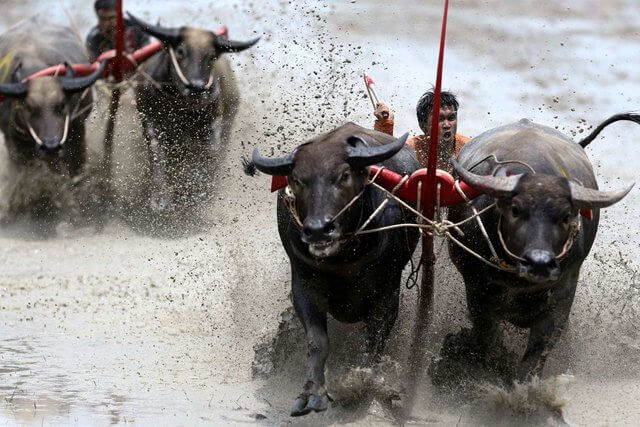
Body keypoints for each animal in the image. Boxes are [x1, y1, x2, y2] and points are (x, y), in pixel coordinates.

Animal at [126, 13, 258, 212]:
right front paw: (160, 199)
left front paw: (198, 191)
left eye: (212, 56)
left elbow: (209, 154)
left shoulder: (211, 124)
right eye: (180, 51)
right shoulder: (149, 121)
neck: (178, 105)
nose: (196, 87)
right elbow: (158, 156)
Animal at [252, 122, 422, 416]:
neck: (342, 259)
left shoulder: (388, 292)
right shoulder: (304, 286)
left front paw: (361, 383)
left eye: (343, 175)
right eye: (298, 179)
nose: (318, 229)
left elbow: (375, 340)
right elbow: (317, 341)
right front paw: (312, 394)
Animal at [442, 114, 636, 382]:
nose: (540, 263)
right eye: (515, 209)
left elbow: (537, 351)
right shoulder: (476, 285)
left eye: (566, 216)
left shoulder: (563, 292)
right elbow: (486, 337)